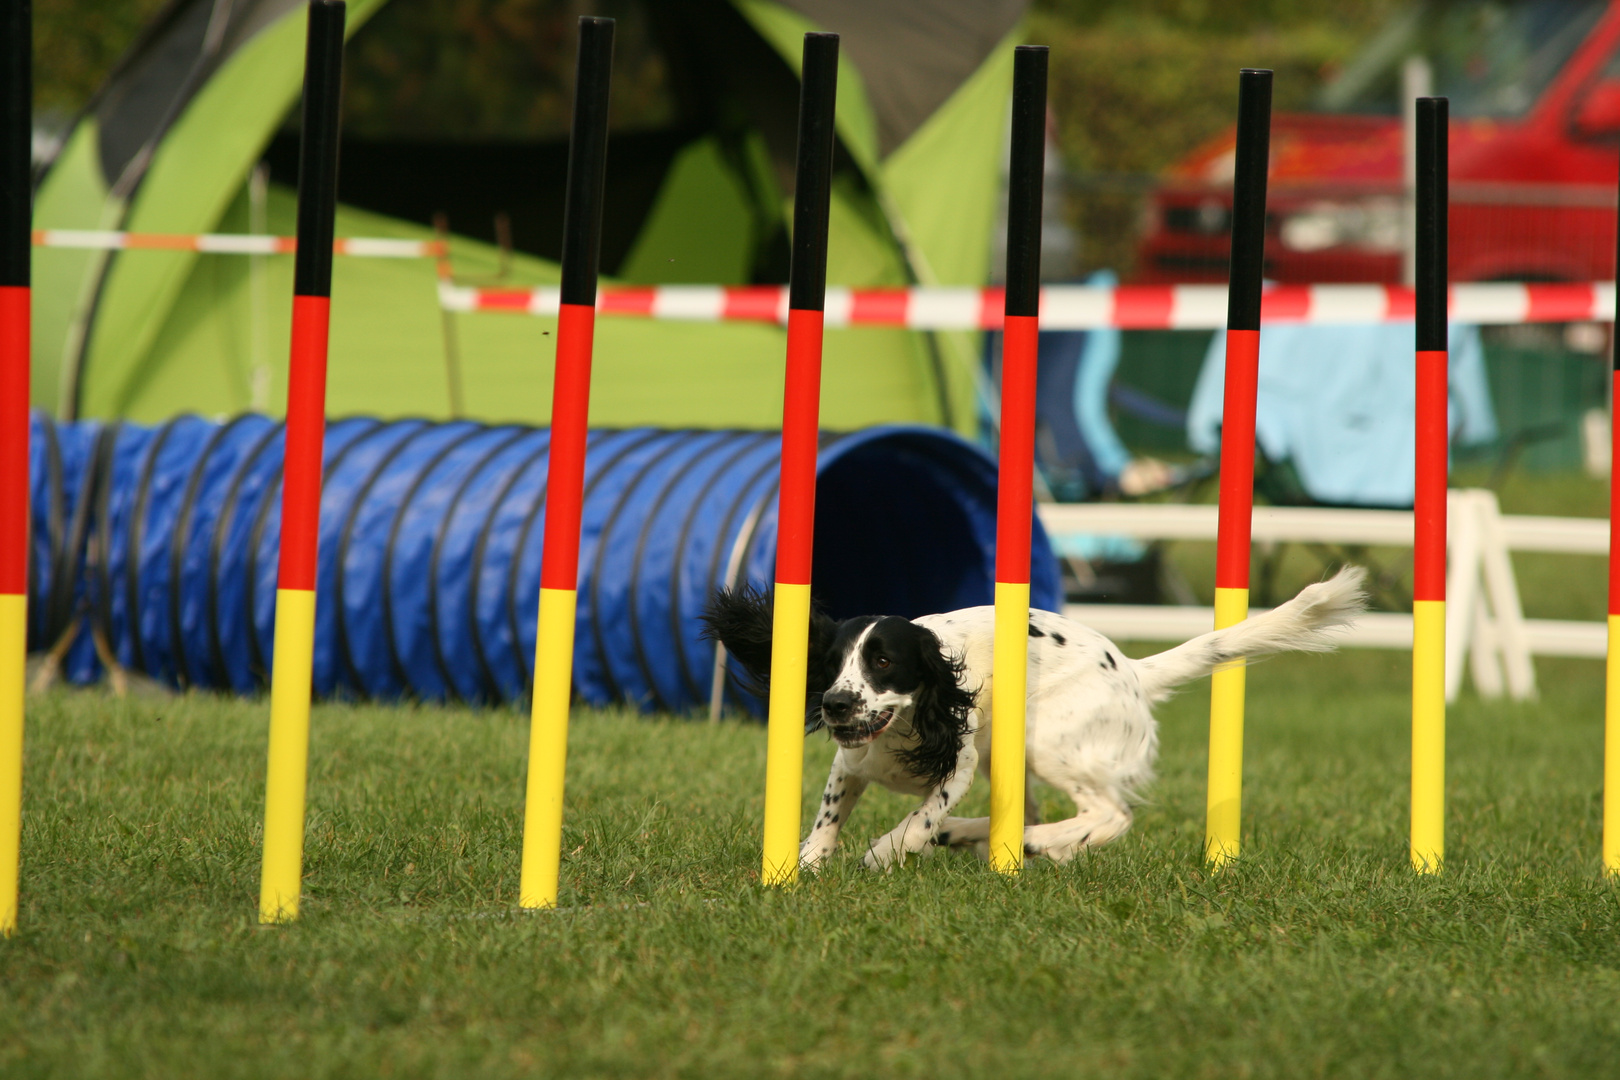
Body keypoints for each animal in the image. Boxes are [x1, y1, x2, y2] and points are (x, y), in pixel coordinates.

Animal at [703, 569, 1360, 874]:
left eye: (883, 661)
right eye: (832, 663)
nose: (836, 704)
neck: (911, 722)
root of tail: (1131, 669)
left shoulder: (961, 760)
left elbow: (921, 815)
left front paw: (888, 850)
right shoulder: (852, 761)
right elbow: (829, 814)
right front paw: (806, 863)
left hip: (1045, 741)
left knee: (1109, 815)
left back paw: (1032, 843)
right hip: (1013, 754)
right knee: (1044, 816)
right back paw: (992, 839)